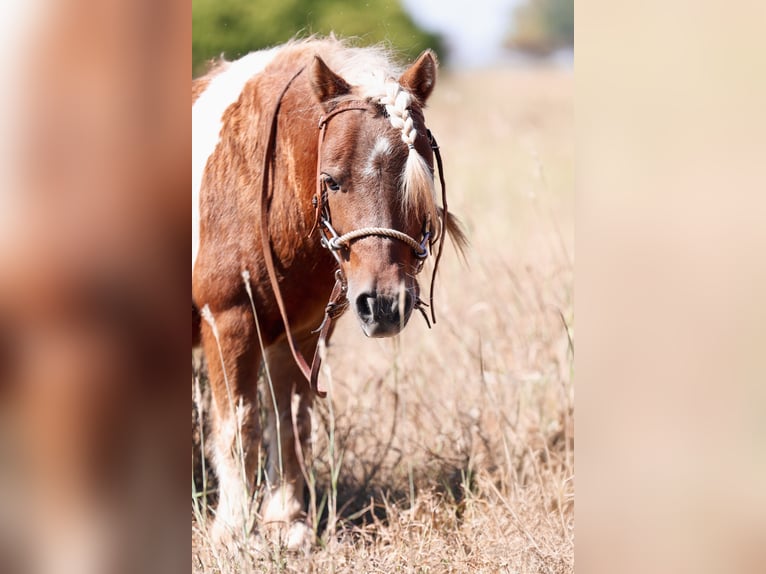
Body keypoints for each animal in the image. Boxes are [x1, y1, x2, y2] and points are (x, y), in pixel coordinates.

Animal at [192, 37, 466, 548]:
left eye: (418, 179)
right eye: (333, 180)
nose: (383, 305)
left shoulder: (297, 332)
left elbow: (290, 424)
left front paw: (287, 523)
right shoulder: (227, 320)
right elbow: (240, 425)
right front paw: (233, 532)